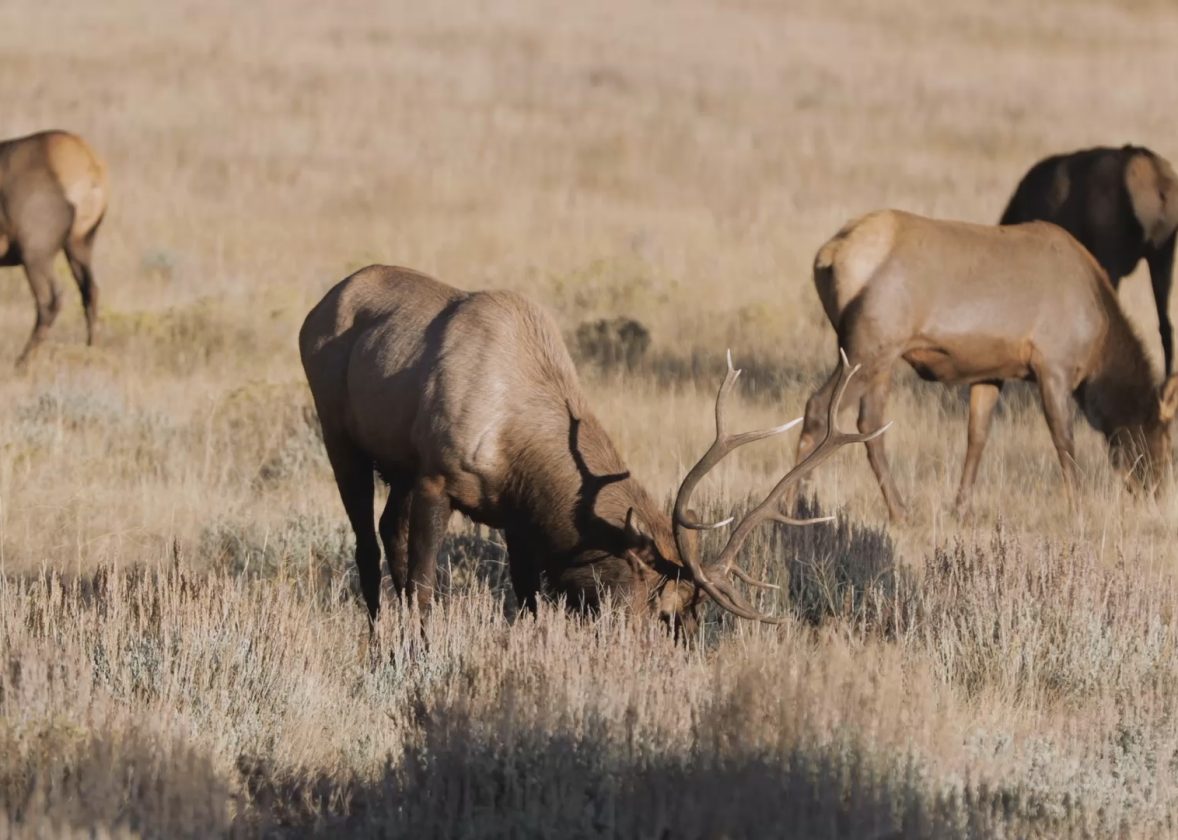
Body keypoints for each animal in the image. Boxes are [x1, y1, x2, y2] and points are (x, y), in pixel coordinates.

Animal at [299, 265, 886, 630]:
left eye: (698, 614)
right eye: (667, 609)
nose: (685, 655)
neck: (515, 444)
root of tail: (315, 308)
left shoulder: (514, 516)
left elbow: (527, 598)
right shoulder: (435, 479)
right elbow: (424, 586)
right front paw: (419, 650)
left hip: (394, 465)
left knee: (386, 531)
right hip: (340, 438)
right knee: (368, 546)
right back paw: (379, 638)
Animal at [788, 210, 1178, 523]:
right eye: (1164, 439)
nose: (1156, 494)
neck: (1099, 342)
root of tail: (829, 256)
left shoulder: (992, 372)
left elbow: (977, 436)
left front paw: (961, 508)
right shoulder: (1054, 364)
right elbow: (1064, 438)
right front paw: (1078, 509)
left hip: (877, 355)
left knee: (869, 423)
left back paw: (898, 510)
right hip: (869, 347)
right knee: (820, 408)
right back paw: (799, 506)